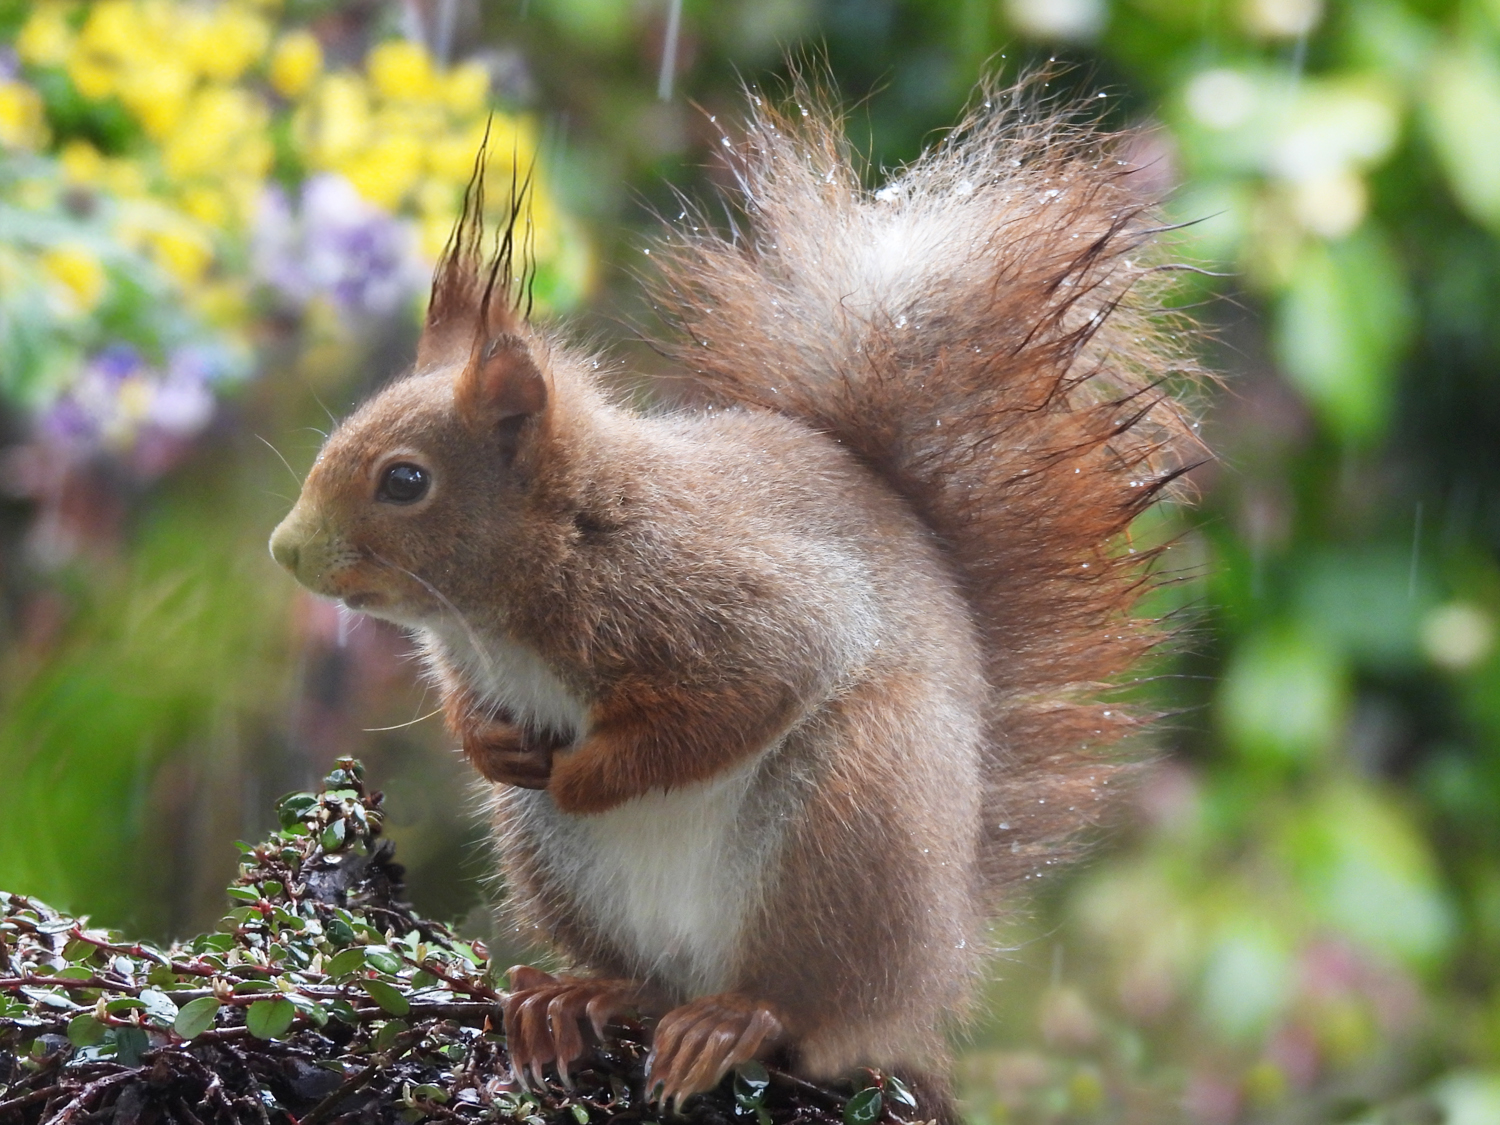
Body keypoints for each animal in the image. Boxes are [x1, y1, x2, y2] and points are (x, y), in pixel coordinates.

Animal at [270, 83, 1206, 1122]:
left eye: (405, 480)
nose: (287, 550)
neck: (510, 600)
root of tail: (932, 972)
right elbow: (478, 714)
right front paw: (490, 744)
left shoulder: (726, 598)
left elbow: (738, 698)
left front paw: (585, 773)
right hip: (560, 865)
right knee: (646, 982)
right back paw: (577, 998)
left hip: (851, 817)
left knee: (802, 1009)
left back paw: (732, 1021)